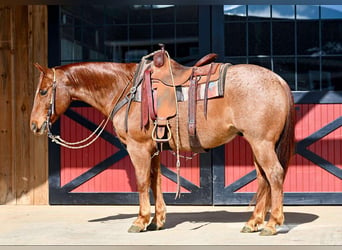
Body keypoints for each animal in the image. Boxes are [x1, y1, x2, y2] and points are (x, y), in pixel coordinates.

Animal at [30, 49, 296, 236]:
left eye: (43, 92)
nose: (34, 125)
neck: (126, 88)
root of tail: (278, 80)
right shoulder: (153, 149)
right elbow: (155, 181)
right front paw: (157, 221)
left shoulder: (138, 148)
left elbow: (141, 182)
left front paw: (140, 221)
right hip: (256, 144)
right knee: (263, 179)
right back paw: (253, 222)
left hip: (261, 143)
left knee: (274, 175)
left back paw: (272, 224)